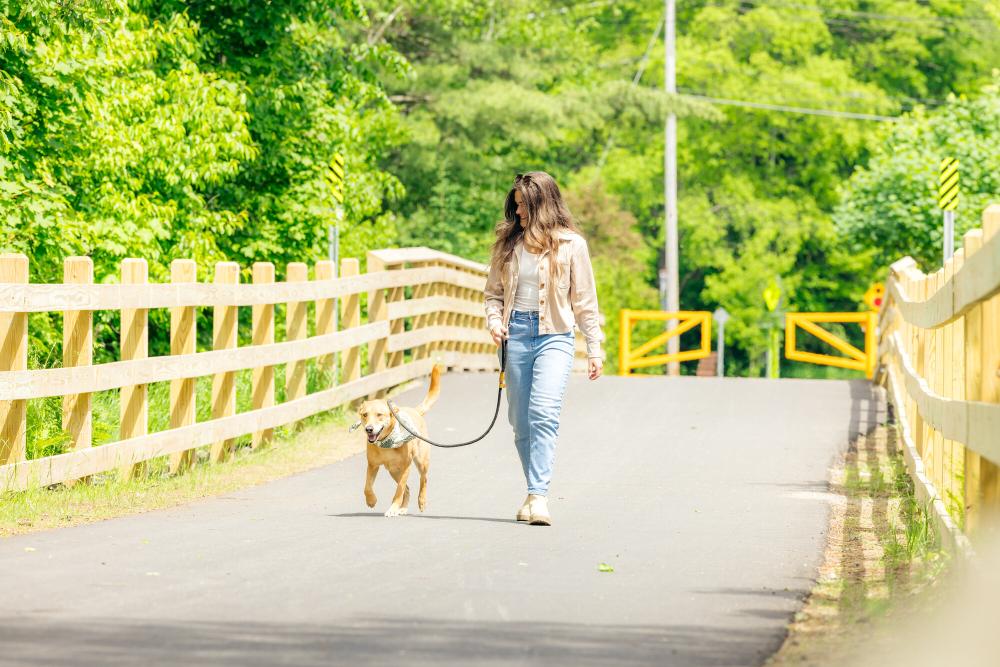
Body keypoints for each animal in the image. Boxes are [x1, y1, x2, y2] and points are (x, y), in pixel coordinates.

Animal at [352, 366, 442, 516]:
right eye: (365, 415)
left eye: (379, 415)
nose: (369, 429)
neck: (385, 443)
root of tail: (414, 411)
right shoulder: (372, 465)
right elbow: (367, 487)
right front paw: (371, 500)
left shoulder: (406, 466)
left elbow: (399, 490)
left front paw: (393, 508)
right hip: (393, 470)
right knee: (408, 489)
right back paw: (403, 508)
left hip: (420, 462)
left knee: (423, 479)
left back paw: (421, 501)